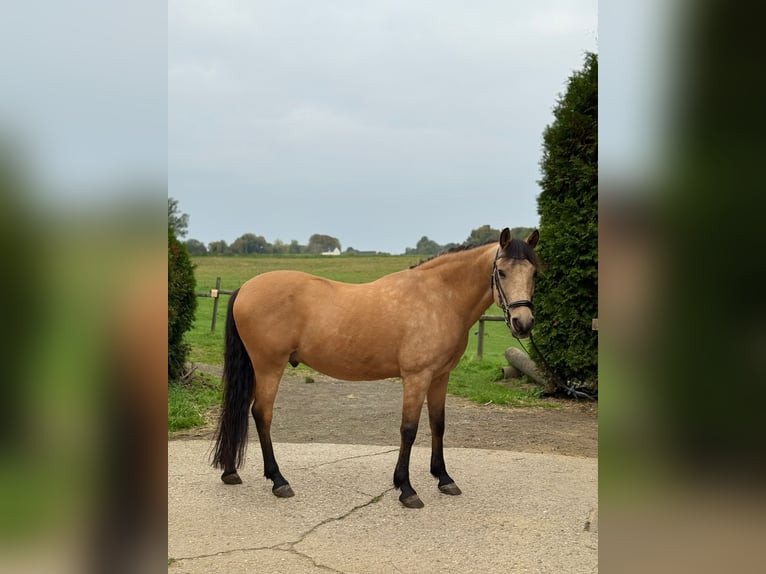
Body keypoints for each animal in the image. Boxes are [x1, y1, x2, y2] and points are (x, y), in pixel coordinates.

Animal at [212, 228, 540, 508]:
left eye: (534, 272)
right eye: (501, 272)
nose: (522, 323)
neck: (438, 297)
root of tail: (245, 288)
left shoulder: (440, 377)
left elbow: (438, 424)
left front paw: (444, 478)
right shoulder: (416, 377)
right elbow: (409, 429)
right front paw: (406, 489)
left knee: (241, 410)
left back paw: (231, 472)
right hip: (269, 366)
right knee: (261, 414)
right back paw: (278, 480)